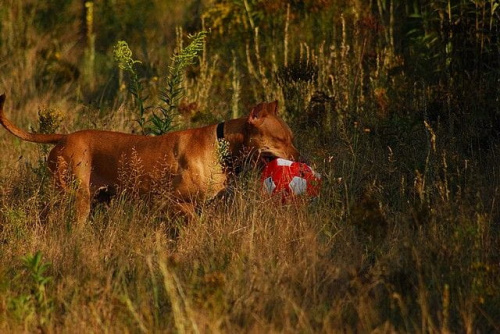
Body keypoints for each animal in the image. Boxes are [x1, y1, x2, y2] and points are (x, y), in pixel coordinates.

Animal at [0, 94, 298, 223]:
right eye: (281, 139)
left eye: (291, 137)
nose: (300, 157)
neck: (223, 144)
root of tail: (63, 137)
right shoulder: (171, 201)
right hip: (77, 198)